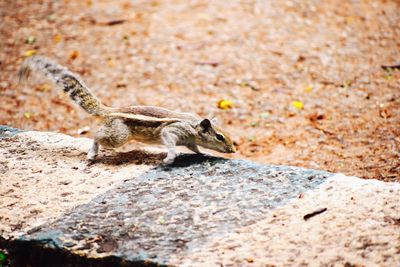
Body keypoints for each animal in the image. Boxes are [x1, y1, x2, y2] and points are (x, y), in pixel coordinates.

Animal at [18, 56, 236, 164]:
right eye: (220, 137)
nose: (233, 150)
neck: (193, 125)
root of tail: (110, 111)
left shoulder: (189, 139)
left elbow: (194, 148)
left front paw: (202, 153)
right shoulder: (173, 131)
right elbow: (170, 142)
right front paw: (170, 158)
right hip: (119, 136)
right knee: (97, 135)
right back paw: (92, 153)